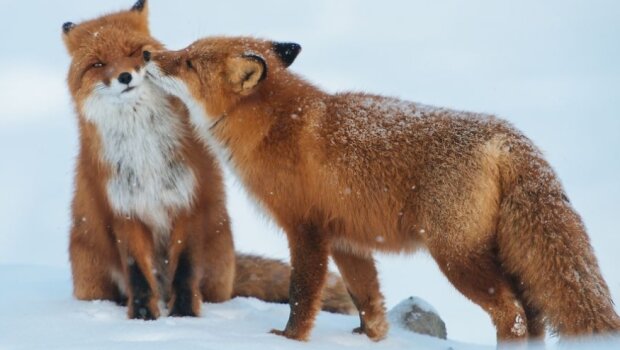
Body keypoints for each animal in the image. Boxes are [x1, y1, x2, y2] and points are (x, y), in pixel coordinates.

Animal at [63, 0, 354, 322]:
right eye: (98, 64)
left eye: (134, 52)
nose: (125, 77)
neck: (145, 150)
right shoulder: (125, 210)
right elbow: (138, 273)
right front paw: (143, 318)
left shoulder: (190, 199)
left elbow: (185, 268)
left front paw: (184, 316)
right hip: (92, 278)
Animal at [145, 36, 620, 344]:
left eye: (188, 62)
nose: (149, 54)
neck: (276, 125)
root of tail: (508, 136)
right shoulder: (347, 239)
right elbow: (366, 299)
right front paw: (370, 337)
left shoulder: (306, 230)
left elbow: (302, 295)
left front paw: (288, 338)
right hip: (500, 254)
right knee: (533, 314)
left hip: (457, 257)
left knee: (514, 315)